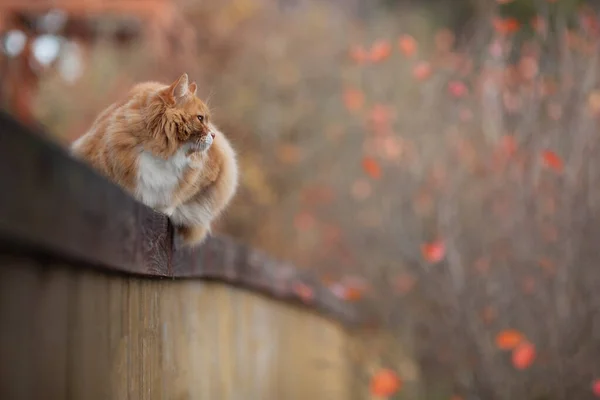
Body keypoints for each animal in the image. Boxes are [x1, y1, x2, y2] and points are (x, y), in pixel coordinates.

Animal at [71, 73, 239, 245]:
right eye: (200, 118)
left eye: (207, 120)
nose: (213, 134)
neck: (162, 154)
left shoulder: (213, 174)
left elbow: (179, 197)